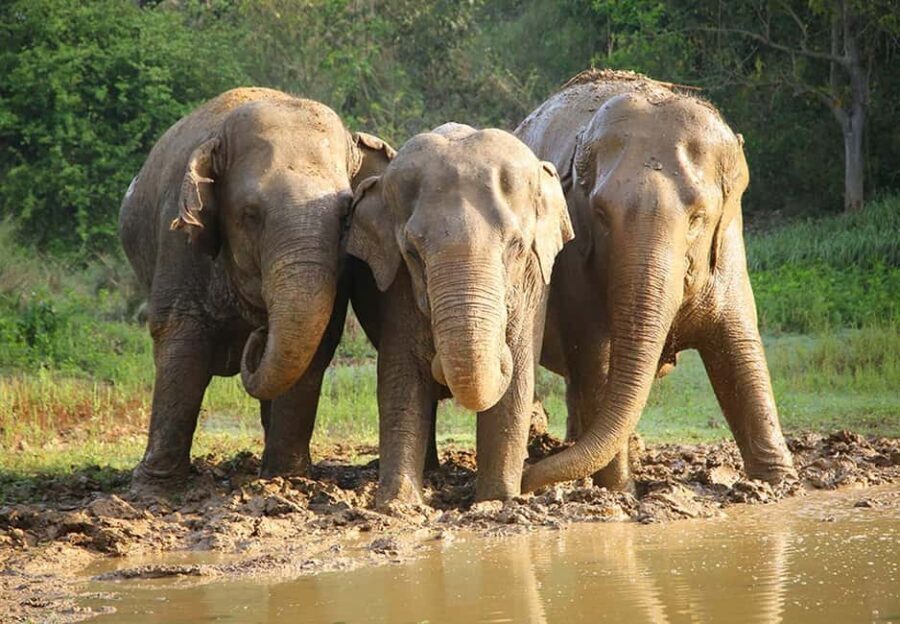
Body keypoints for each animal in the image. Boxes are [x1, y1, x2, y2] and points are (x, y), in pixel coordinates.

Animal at [119, 87, 394, 489]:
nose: (260, 333)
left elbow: (318, 341)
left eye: (347, 213)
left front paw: (286, 478)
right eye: (250, 214)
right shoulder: (179, 242)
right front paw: (153, 486)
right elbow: (179, 336)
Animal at [347, 123, 573, 504]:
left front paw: (497, 500)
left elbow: (518, 380)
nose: (437, 360)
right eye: (411, 252)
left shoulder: (535, 283)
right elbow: (400, 377)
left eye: (516, 246)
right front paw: (398, 504)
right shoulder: (397, 287)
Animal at [514, 69, 796, 493]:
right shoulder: (576, 267)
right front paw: (619, 492)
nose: (526, 480)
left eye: (698, 217)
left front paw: (781, 484)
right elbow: (597, 363)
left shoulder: (729, 249)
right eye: (599, 214)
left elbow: (740, 353)